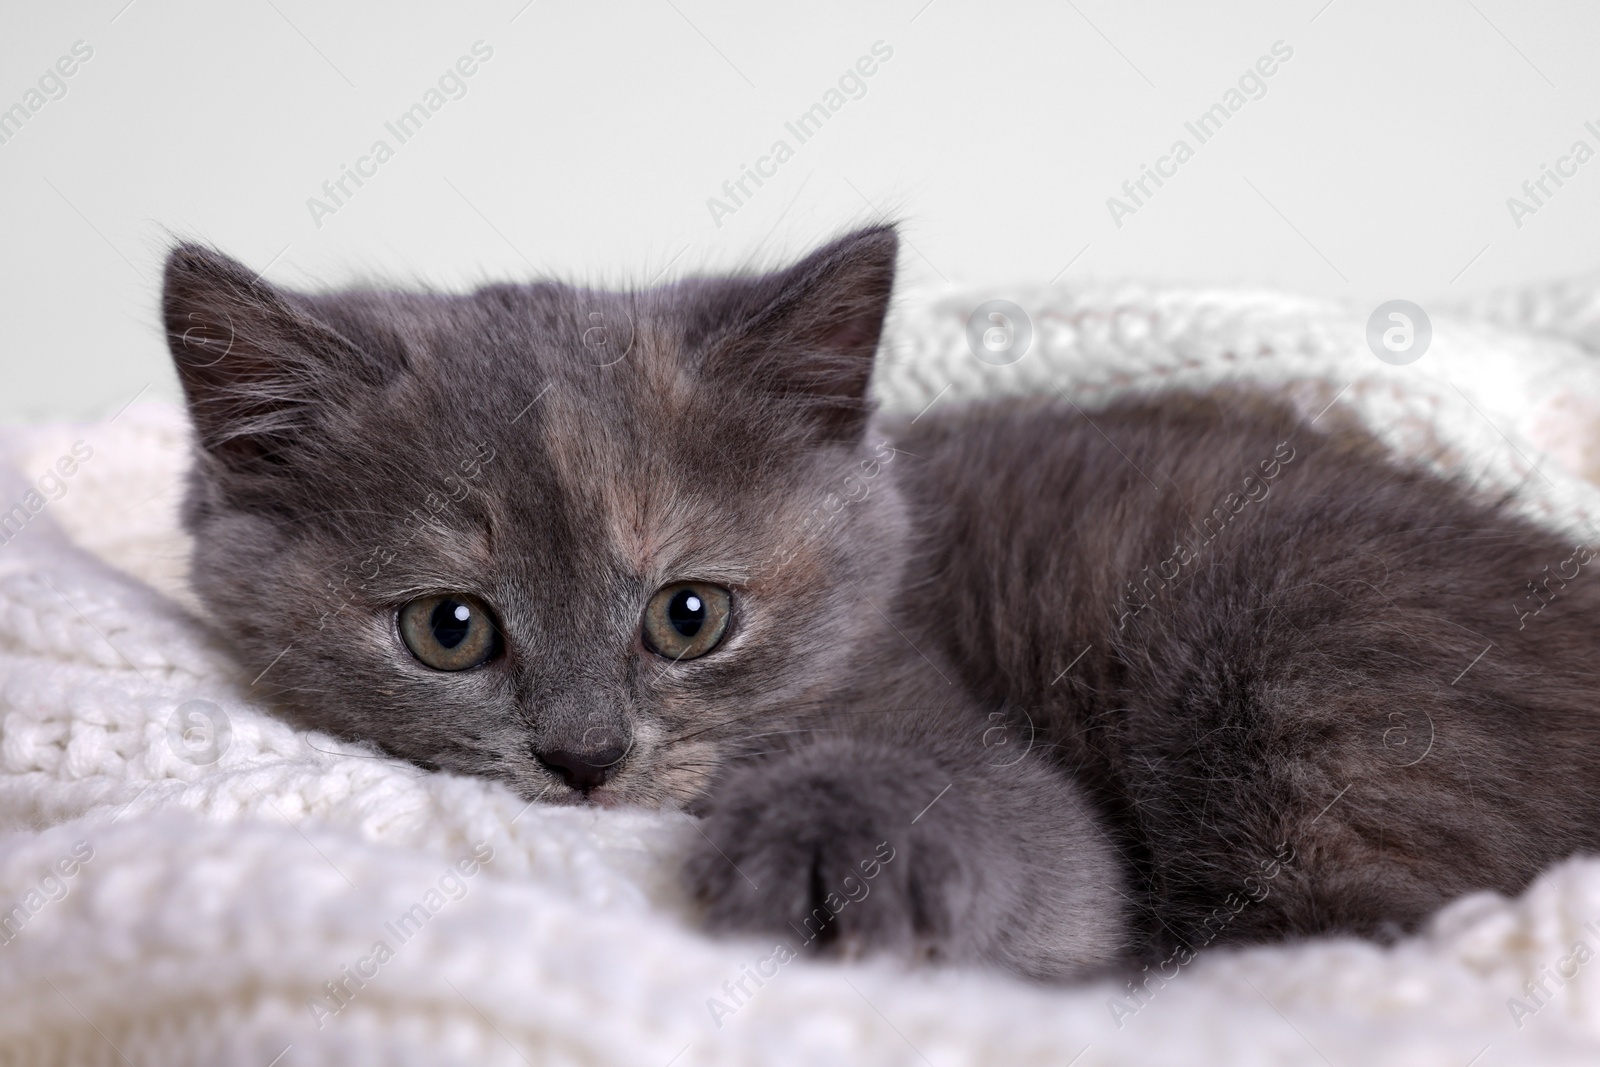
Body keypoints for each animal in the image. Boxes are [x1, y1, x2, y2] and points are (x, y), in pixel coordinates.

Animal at [159, 230, 1600, 979]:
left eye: (690, 614)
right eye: (448, 627)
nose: (583, 757)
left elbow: (1033, 858)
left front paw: (829, 843)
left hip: (1303, 652)